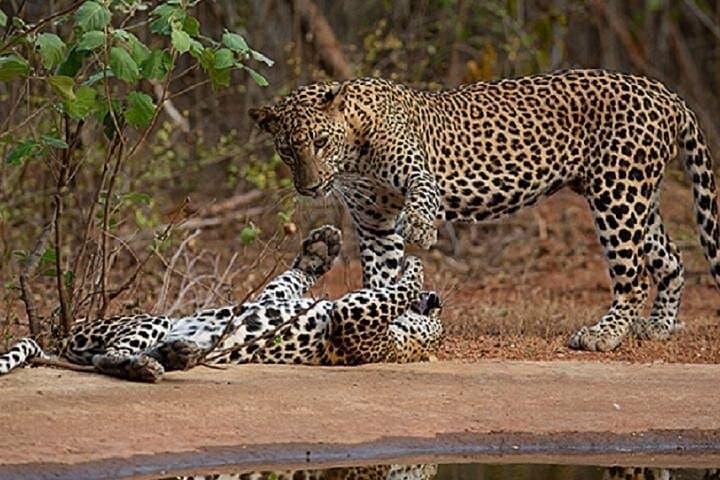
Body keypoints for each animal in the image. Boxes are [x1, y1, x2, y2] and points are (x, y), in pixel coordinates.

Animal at [0, 225, 444, 382]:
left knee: (106, 358)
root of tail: (61, 344)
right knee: (107, 356)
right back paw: (172, 356)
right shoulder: (278, 297)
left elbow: (392, 293)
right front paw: (322, 247)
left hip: (151, 320)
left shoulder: (350, 318)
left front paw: (415, 266)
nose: (437, 301)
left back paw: (160, 362)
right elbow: (288, 280)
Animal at [249, 68, 720, 352]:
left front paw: (420, 229)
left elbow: (421, 199)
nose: (309, 187)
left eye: (320, 142)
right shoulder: (373, 223)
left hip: (618, 195)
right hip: (634, 195)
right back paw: (658, 326)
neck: (353, 158)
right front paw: (387, 318)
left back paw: (603, 335)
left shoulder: (417, 171)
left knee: (634, 278)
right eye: (287, 151)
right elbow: (381, 276)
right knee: (671, 261)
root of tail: (665, 93)